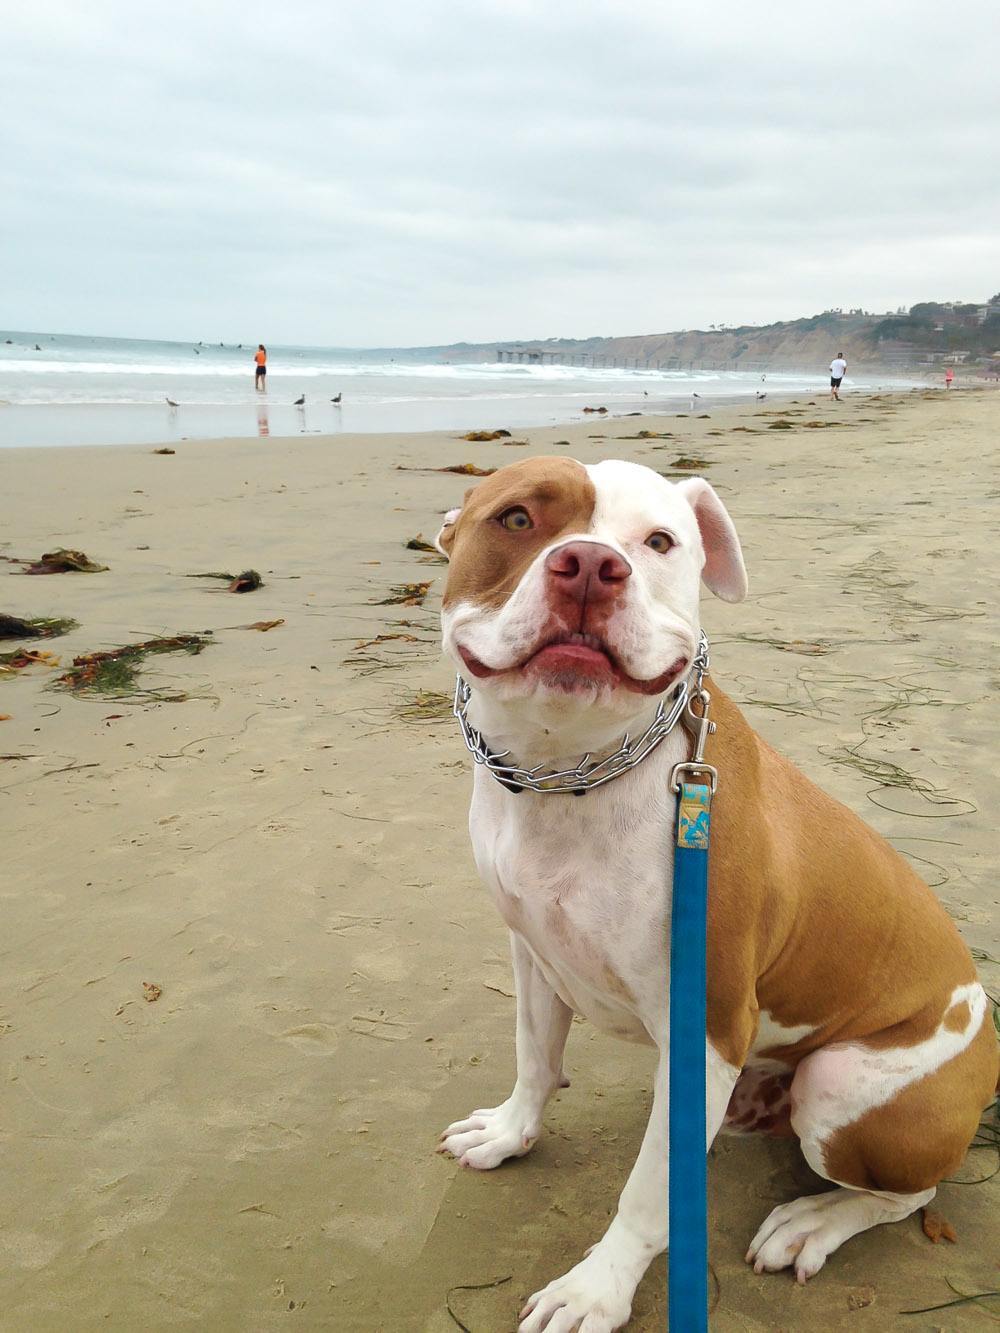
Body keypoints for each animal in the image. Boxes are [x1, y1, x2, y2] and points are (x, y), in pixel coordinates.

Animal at [434, 458, 997, 1333]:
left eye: (660, 541)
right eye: (518, 518)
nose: (590, 566)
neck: (568, 771)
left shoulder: (705, 1025)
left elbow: (645, 1194)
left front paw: (596, 1288)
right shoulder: (533, 951)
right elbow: (534, 1057)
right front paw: (511, 1131)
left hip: (840, 1086)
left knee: (909, 1192)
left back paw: (813, 1222)